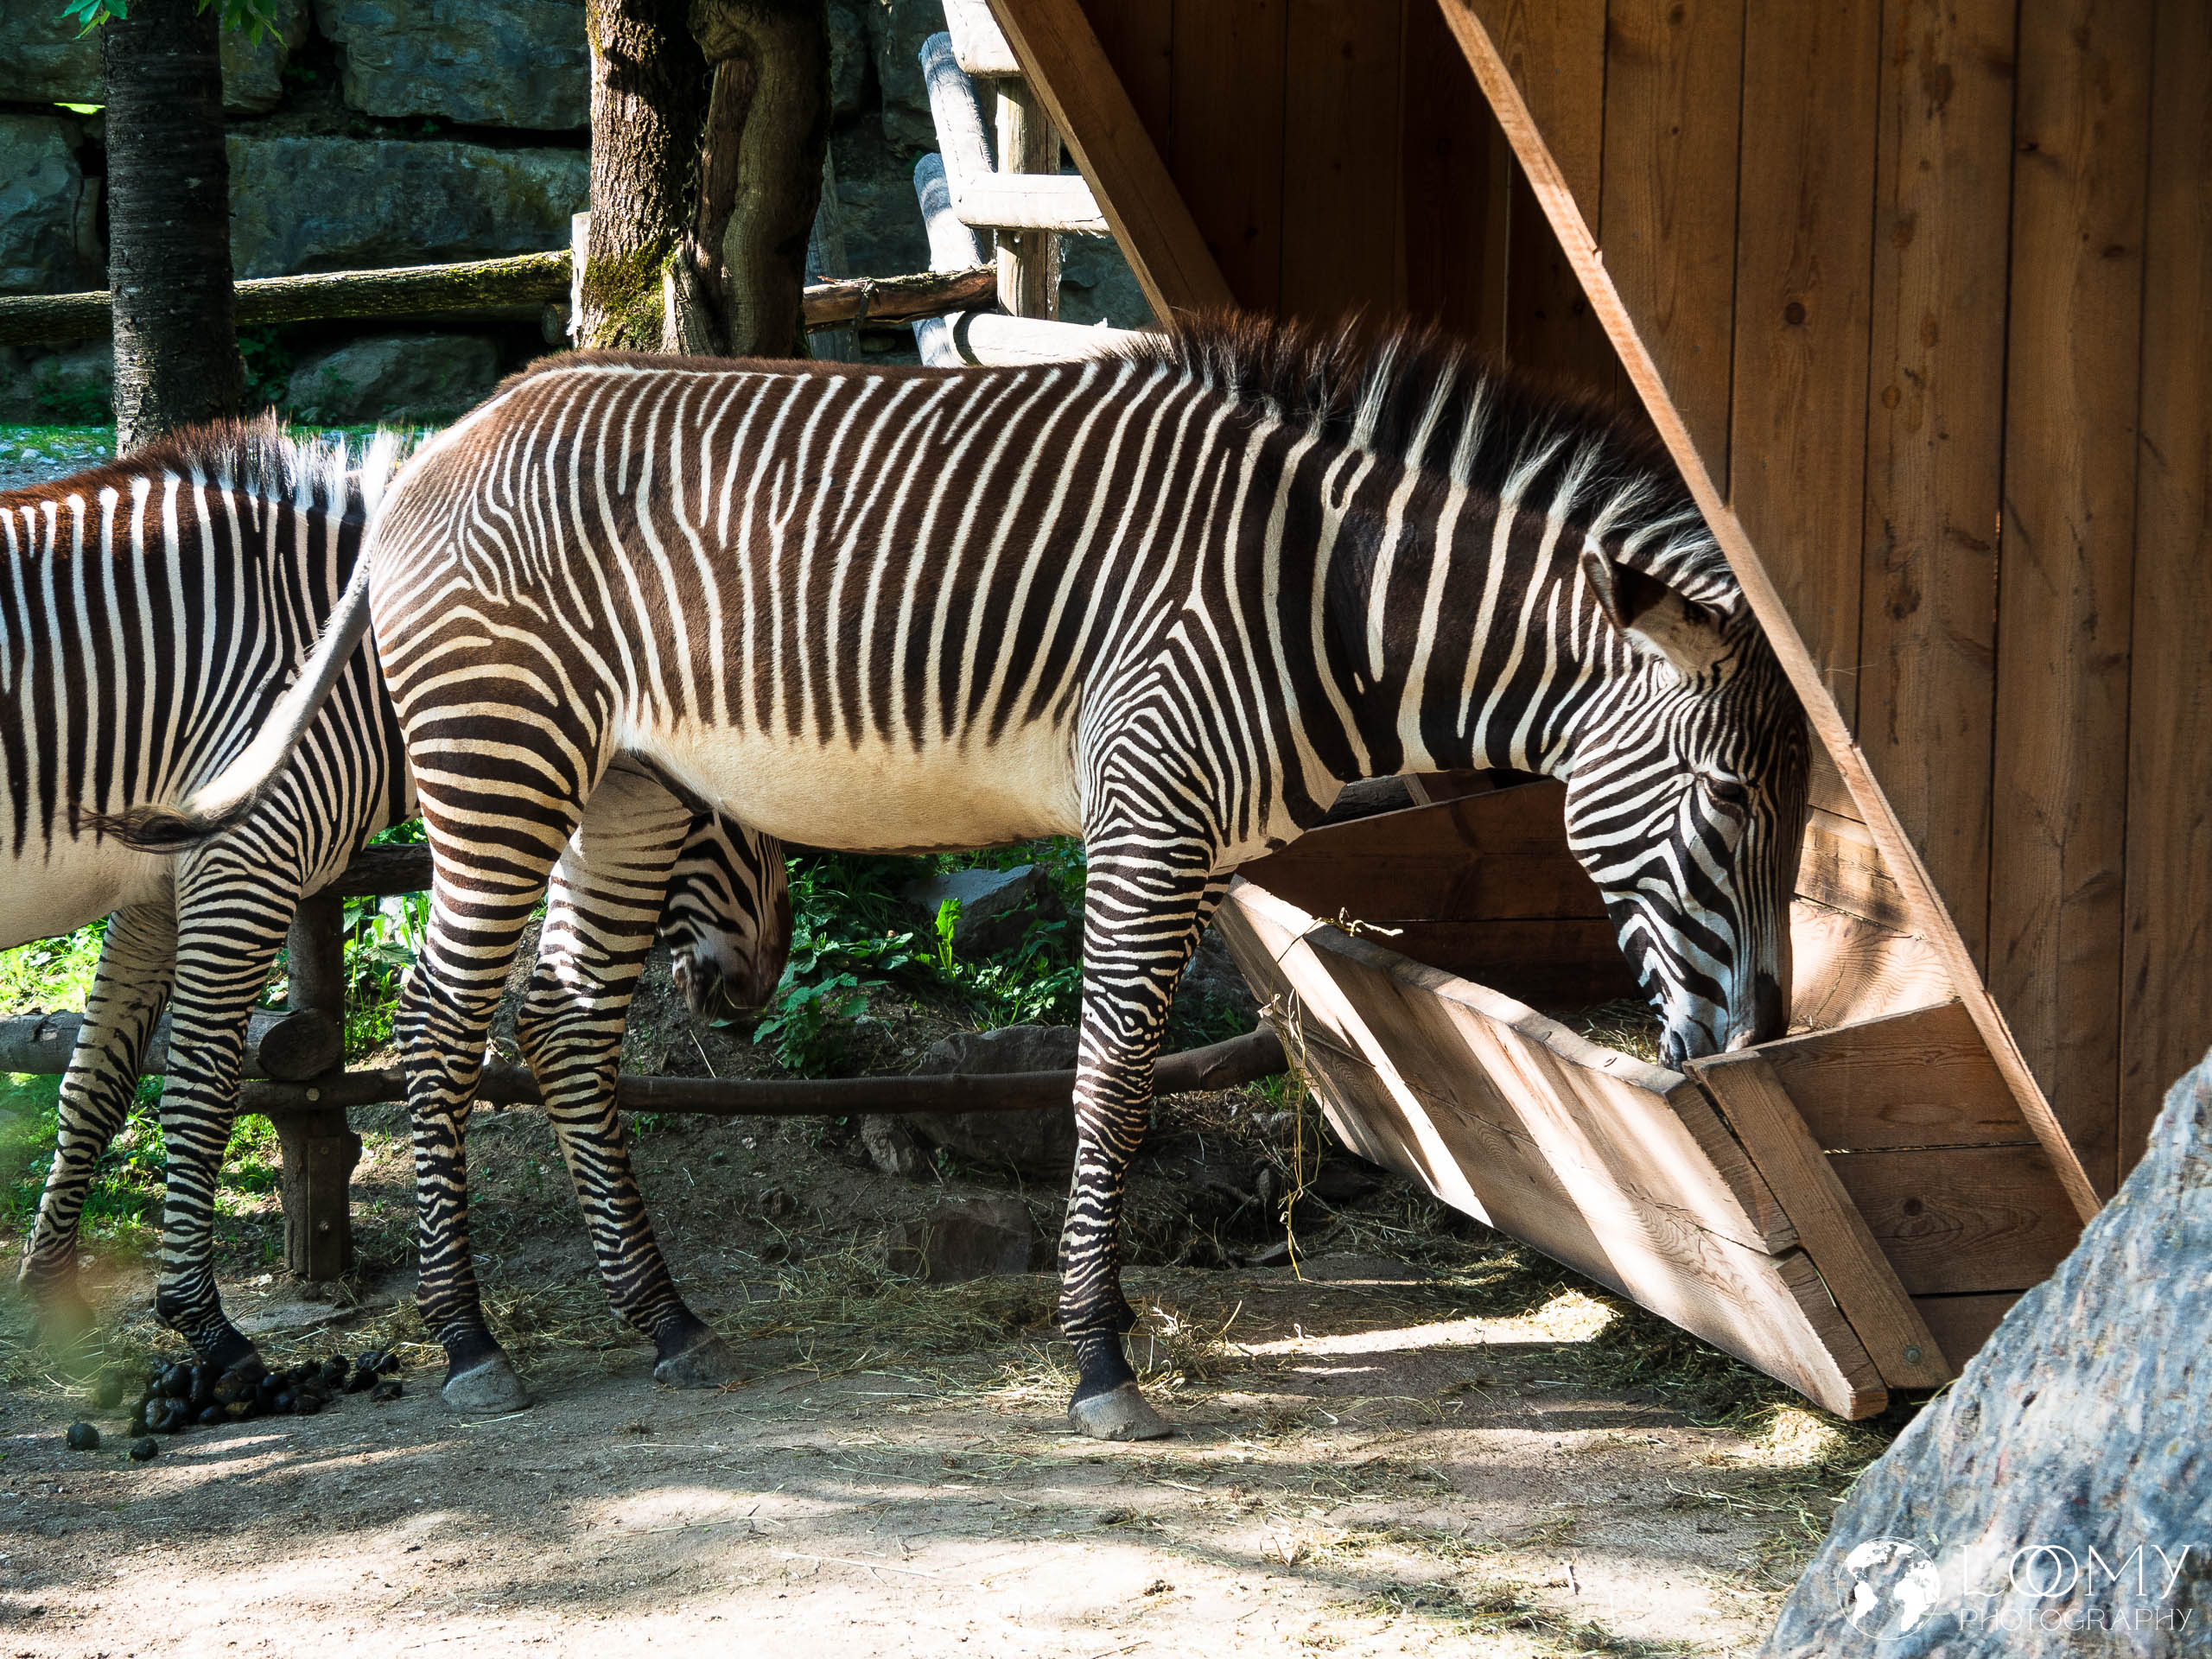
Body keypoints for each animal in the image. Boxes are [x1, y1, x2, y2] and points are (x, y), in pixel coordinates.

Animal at [2, 421, 790, 1394]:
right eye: (732, 801)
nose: (770, 969)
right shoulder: (241, 863)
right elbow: (200, 1085)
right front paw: (206, 1327)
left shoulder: (154, 887)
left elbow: (95, 1085)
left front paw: (50, 1307)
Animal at [129, 315, 1810, 1439]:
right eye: (1732, 800)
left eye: (1802, 814)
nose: (1754, 1050)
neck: (1319, 599)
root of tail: (440, 443)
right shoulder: (1146, 812)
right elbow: (1113, 1077)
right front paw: (1098, 1359)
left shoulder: (1187, 840)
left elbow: (1129, 1076)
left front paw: (1101, 1327)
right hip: (502, 759)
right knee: (434, 1022)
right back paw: (472, 1344)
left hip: (627, 787)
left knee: (566, 1026)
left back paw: (663, 1319)